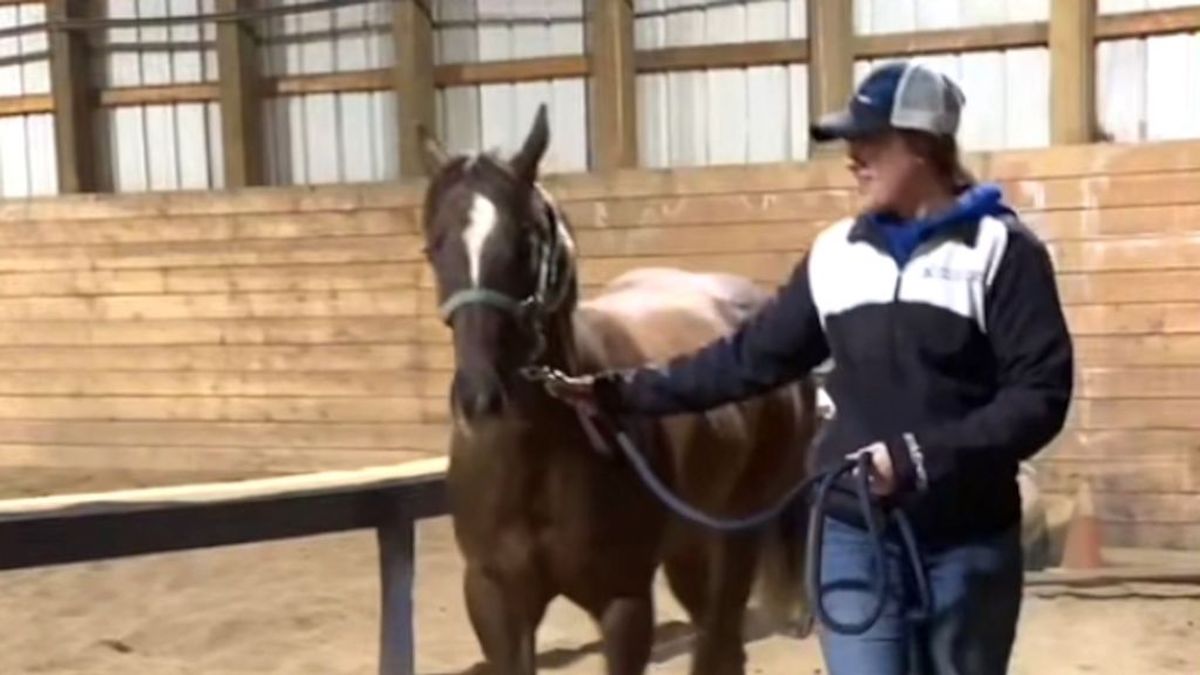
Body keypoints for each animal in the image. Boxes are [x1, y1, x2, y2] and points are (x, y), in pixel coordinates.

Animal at [417, 104, 821, 675]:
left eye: (526, 240)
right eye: (434, 244)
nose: (479, 399)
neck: (539, 457)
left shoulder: (623, 603)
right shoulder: (495, 601)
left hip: (735, 538)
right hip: (688, 550)